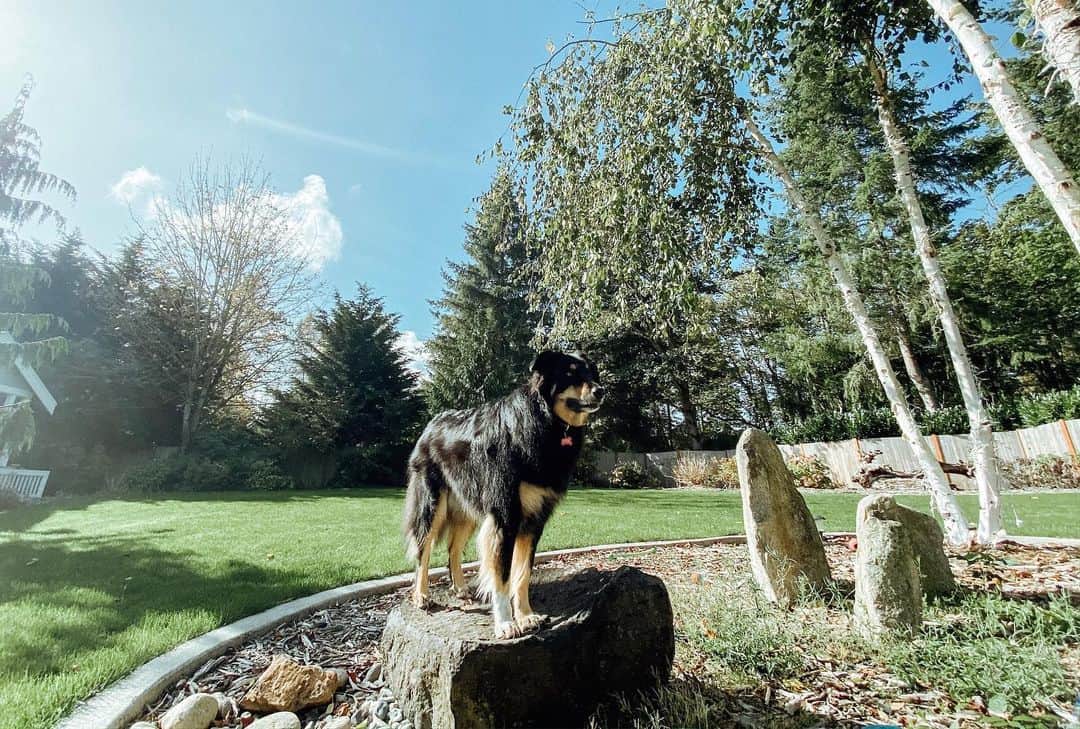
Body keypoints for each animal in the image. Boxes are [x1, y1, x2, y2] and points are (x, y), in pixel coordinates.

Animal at [406, 352, 609, 639]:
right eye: (569, 373)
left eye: (591, 373)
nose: (600, 391)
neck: (546, 422)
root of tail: (431, 425)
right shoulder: (504, 516)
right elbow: (501, 575)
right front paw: (505, 623)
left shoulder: (533, 520)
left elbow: (522, 574)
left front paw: (526, 616)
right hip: (432, 504)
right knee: (422, 549)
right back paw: (421, 595)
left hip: (468, 508)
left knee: (453, 548)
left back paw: (460, 588)